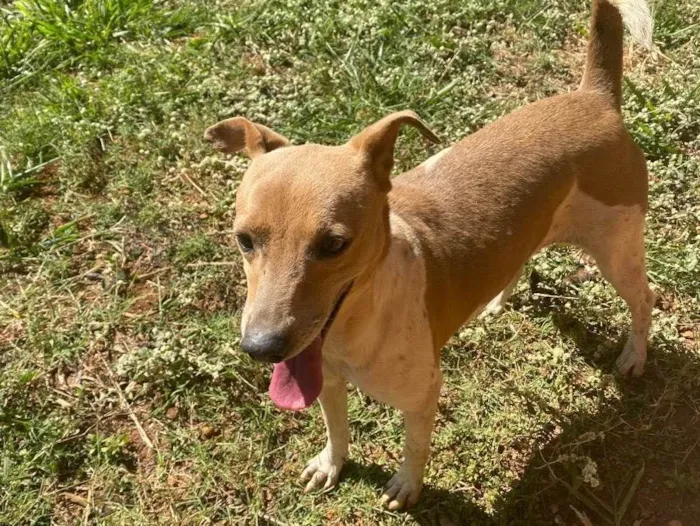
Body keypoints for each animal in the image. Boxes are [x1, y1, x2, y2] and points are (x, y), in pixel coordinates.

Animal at [202, 0, 656, 512]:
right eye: (244, 239)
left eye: (334, 244)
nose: (261, 348)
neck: (356, 321)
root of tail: (595, 96)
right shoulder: (326, 379)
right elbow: (336, 428)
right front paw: (330, 464)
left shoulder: (422, 394)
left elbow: (415, 447)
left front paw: (406, 485)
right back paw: (497, 301)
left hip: (616, 249)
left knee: (645, 298)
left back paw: (634, 355)